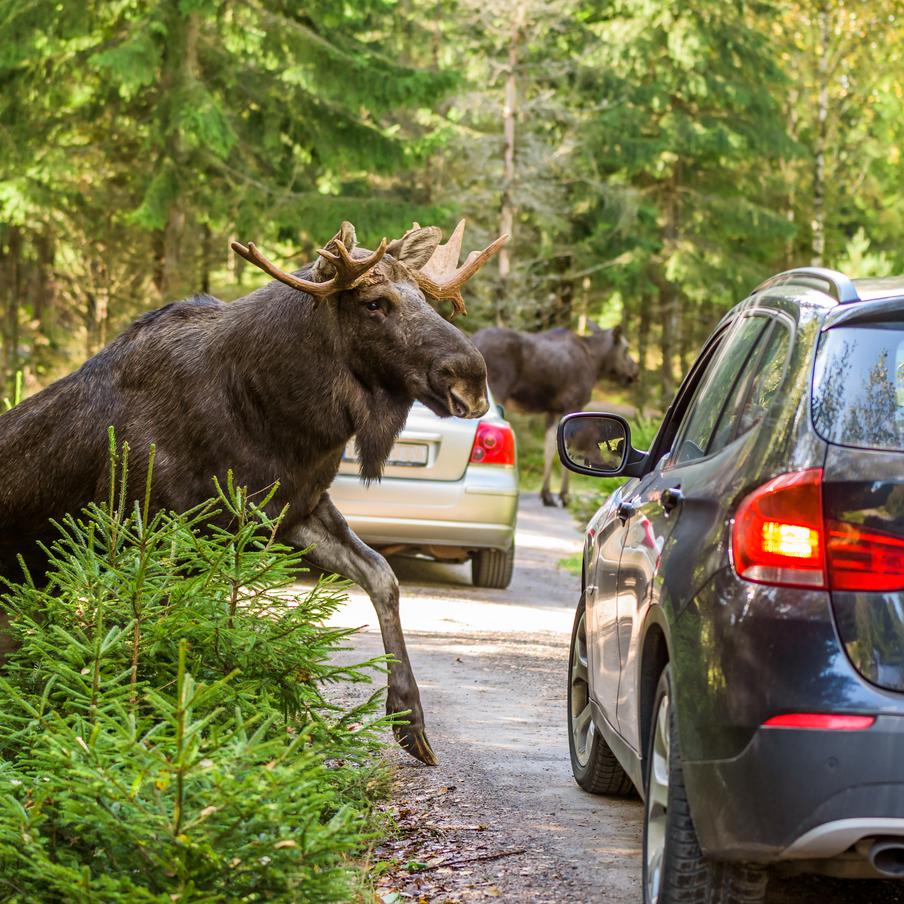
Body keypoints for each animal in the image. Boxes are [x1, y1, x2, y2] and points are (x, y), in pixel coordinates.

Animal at [0, 219, 508, 764]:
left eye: (426, 299)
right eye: (375, 303)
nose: (471, 379)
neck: (275, 416)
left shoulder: (294, 510)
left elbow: (382, 577)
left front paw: (409, 719)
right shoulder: (149, 527)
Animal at [474, 324, 636, 508]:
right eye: (626, 348)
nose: (635, 372)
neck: (597, 363)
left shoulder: (553, 410)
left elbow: (550, 447)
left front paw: (546, 494)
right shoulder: (573, 404)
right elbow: (569, 447)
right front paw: (564, 495)